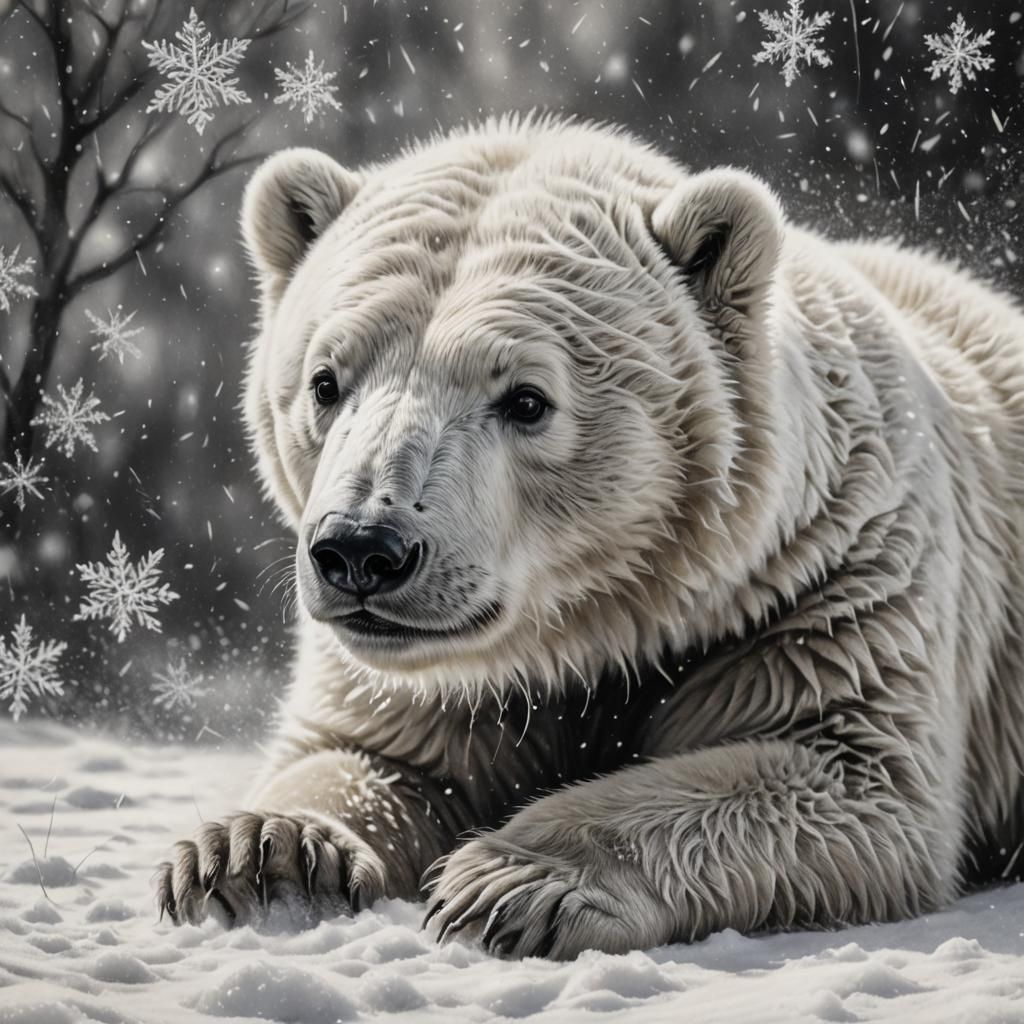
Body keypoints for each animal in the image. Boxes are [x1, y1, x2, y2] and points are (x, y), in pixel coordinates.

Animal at [156, 114, 1024, 959]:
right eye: (326, 382)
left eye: (526, 399)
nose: (363, 550)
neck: (601, 620)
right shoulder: (427, 680)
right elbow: (366, 754)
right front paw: (257, 854)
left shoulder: (828, 580)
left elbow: (842, 771)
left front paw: (510, 882)